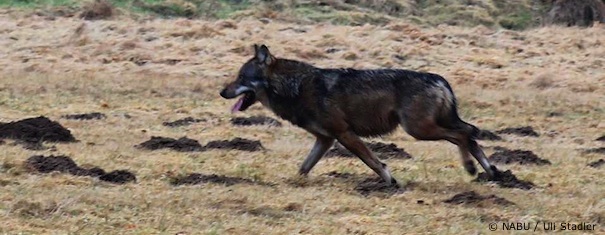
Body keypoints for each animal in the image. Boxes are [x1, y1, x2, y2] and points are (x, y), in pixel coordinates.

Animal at [218, 44, 496, 185]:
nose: (222, 92)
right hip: (427, 127)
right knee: (469, 134)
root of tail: (440, 79)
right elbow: (304, 167)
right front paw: (293, 183)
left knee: (463, 134)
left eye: (242, 78)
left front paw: (390, 182)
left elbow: (373, 162)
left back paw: (473, 169)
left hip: (419, 130)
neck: (297, 87)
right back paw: (492, 172)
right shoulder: (325, 139)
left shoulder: (344, 134)